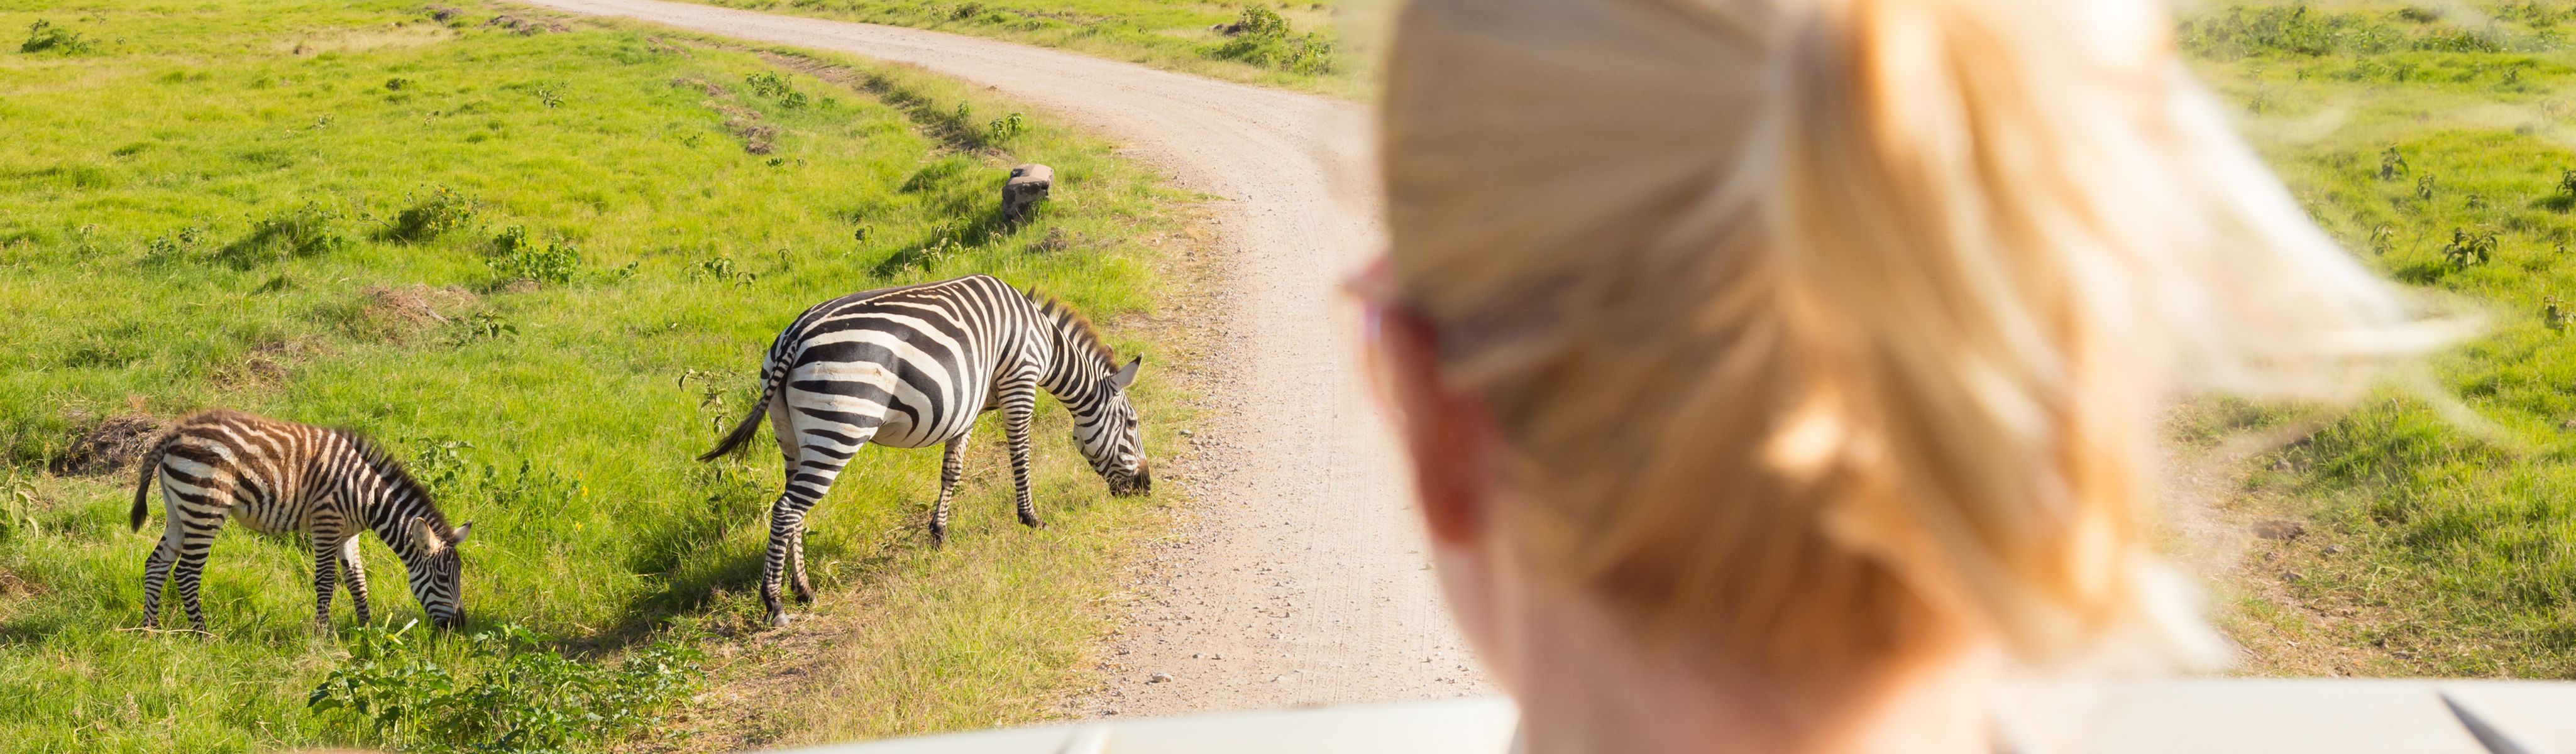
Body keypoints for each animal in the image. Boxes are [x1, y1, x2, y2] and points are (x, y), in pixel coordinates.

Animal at [130, 409, 476, 630]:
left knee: (156, 563)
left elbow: (357, 581)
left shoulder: (348, 533)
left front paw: (367, 631)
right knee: (186, 573)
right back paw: (202, 636)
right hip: (206, 507)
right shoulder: (326, 523)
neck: (366, 495)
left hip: (180, 510)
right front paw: (321, 637)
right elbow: (325, 581)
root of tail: (176, 432)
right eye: (442, 579)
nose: (459, 627)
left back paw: (151, 631)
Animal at [700, 273, 1153, 625]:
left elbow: (952, 468)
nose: (1146, 487)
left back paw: (804, 590)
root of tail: (794, 336)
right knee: (787, 509)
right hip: (841, 426)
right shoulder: (1019, 381)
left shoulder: (969, 404)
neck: (1044, 341)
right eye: (1132, 424)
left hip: (791, 432)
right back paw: (775, 604)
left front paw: (939, 533)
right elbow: (1021, 455)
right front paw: (1031, 518)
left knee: (793, 508)